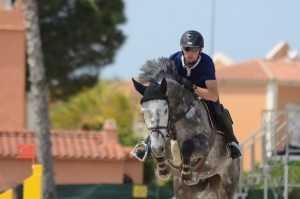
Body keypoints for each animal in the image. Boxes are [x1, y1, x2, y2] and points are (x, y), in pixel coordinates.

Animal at [132, 57, 240, 199]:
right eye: (143, 112)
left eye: (165, 110)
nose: (158, 146)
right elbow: (155, 152)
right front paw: (162, 170)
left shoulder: (204, 145)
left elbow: (187, 146)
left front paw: (188, 174)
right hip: (185, 191)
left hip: (226, 184)